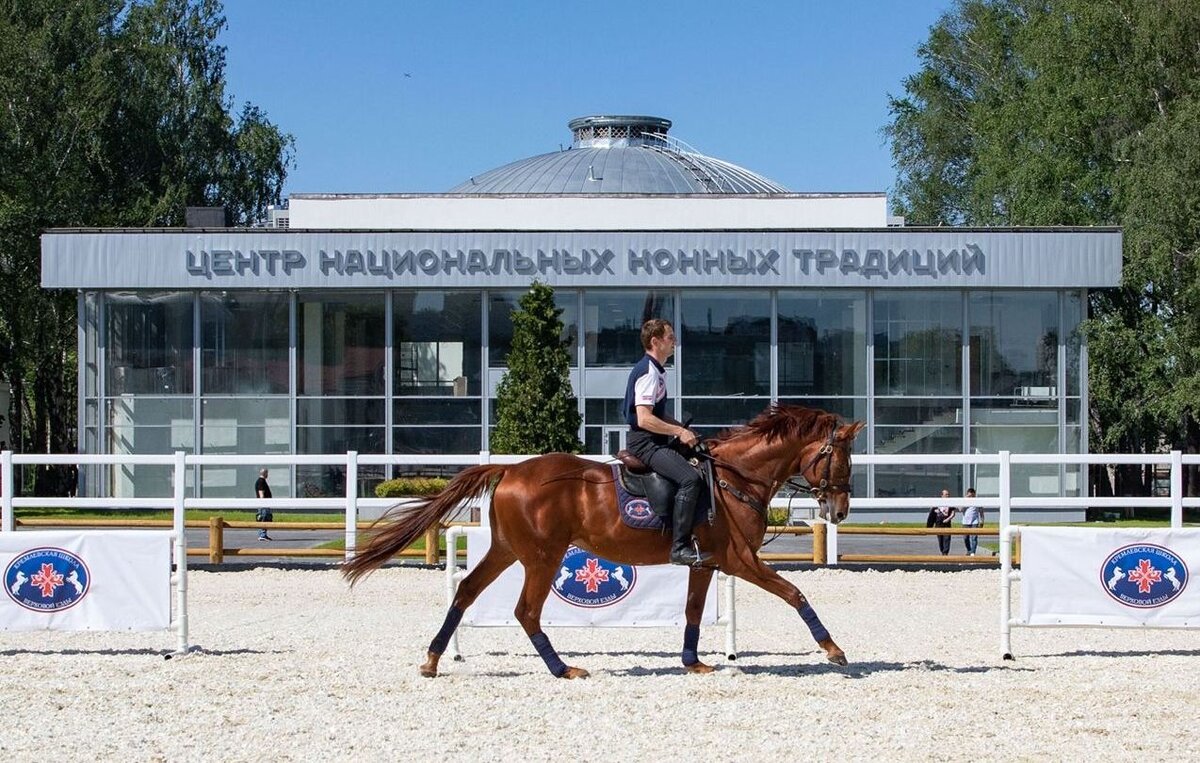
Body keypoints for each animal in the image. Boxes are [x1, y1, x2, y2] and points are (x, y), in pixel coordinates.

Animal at [340, 405, 864, 681]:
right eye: (841, 459)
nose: (839, 511)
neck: (736, 478)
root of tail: (509, 470)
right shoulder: (739, 559)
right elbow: (795, 593)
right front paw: (834, 651)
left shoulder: (705, 562)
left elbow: (694, 612)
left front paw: (693, 662)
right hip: (543, 557)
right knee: (525, 611)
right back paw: (562, 669)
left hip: (507, 550)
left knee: (466, 592)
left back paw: (432, 660)